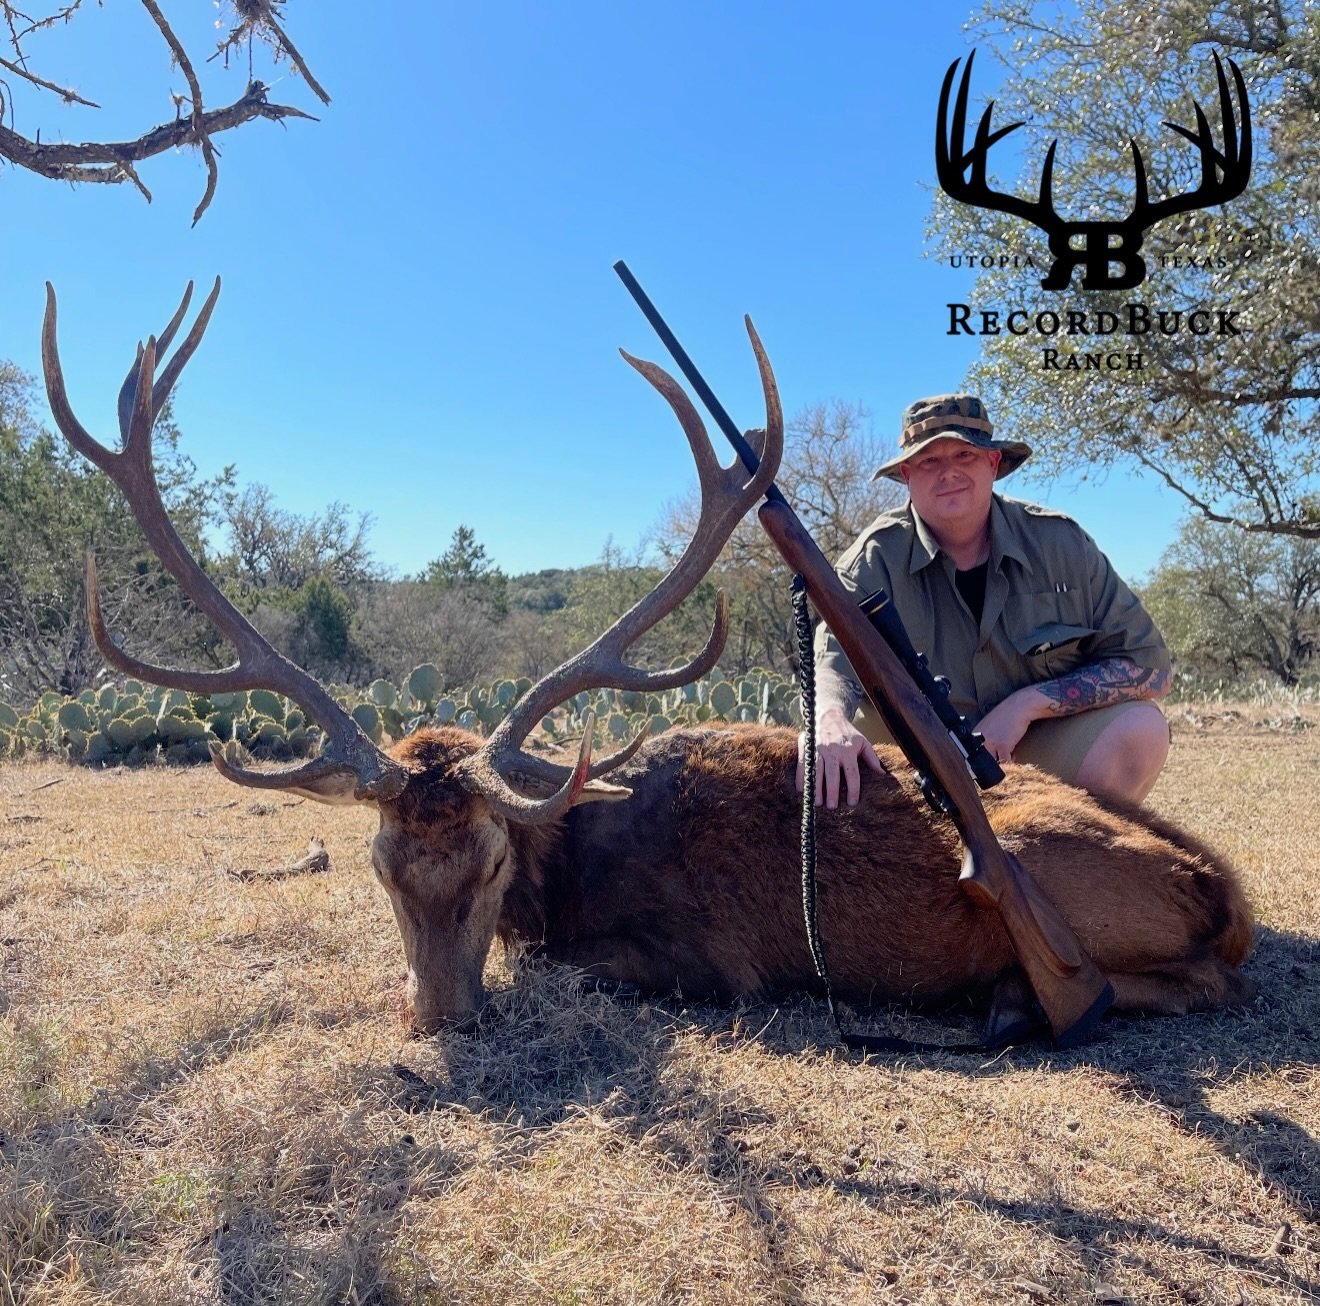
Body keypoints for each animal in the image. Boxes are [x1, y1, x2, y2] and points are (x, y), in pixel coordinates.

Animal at [42, 281, 1255, 1040]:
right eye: (380, 867)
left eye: (491, 862)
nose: (440, 1016)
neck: (570, 856)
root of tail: (1223, 883)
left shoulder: (707, 964)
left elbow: (563, 961)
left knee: (1196, 978)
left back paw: (1017, 996)